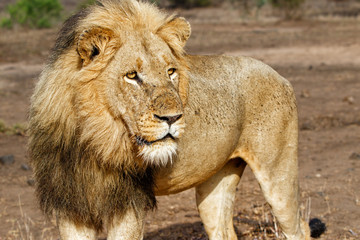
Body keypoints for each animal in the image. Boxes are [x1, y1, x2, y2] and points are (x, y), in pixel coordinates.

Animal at [28, 0, 324, 240]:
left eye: (170, 71)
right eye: (132, 75)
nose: (172, 118)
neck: (91, 139)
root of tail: (279, 74)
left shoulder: (129, 206)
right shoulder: (70, 206)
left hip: (278, 174)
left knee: (299, 228)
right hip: (215, 181)